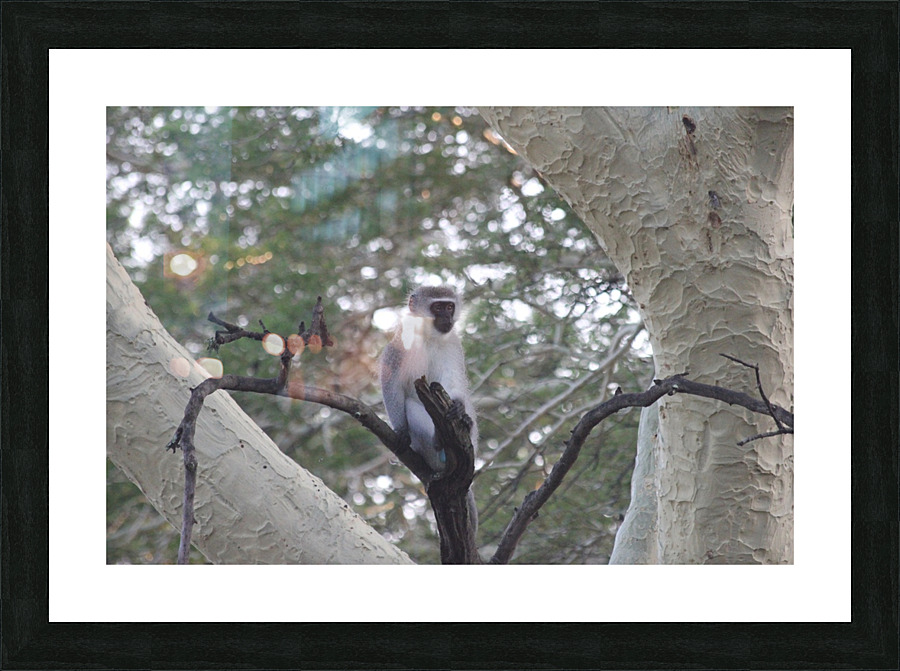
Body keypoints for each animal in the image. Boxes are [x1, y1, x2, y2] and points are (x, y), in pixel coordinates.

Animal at [380, 285, 478, 531]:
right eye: (438, 307)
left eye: (449, 306)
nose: (447, 318)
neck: (429, 337)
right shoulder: (399, 345)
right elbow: (391, 383)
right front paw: (401, 431)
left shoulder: (453, 344)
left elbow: (454, 380)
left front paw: (459, 409)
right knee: (410, 405)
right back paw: (438, 440)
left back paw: (464, 421)